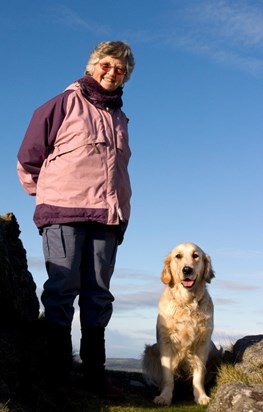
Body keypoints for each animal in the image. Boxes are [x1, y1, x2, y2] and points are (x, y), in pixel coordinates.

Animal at [143, 241, 216, 406]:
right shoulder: (165, 342)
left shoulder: (203, 343)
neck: (186, 302)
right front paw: (164, 397)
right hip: (150, 351)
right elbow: (168, 376)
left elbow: (198, 375)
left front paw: (201, 396)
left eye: (196, 256)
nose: (187, 269)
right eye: (178, 256)